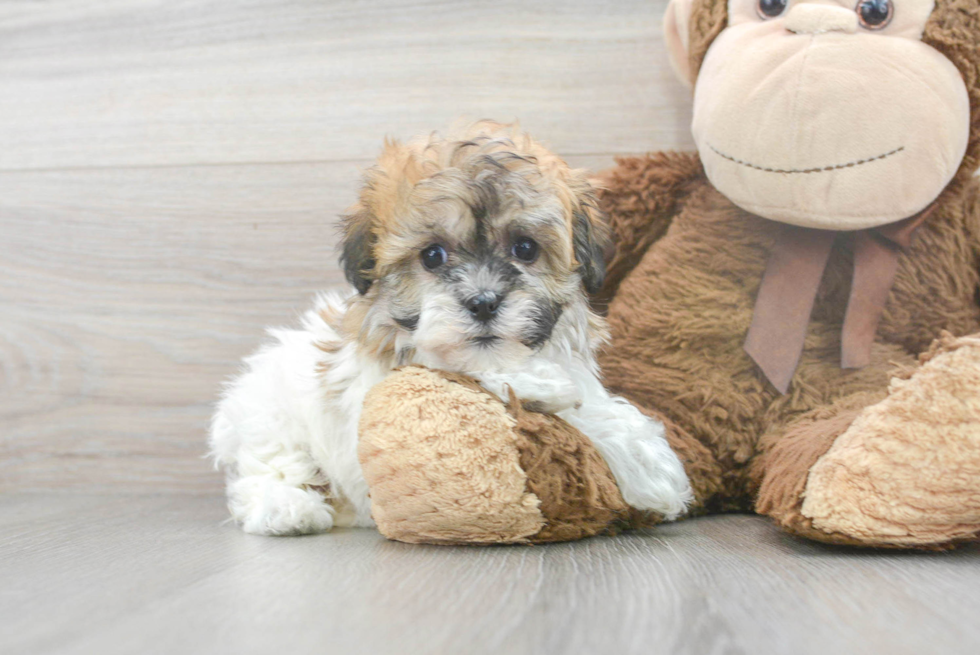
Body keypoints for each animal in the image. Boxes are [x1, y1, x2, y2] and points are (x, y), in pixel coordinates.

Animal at [211, 124, 692, 540]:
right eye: (432, 255)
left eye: (525, 248)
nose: (483, 302)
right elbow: (457, 367)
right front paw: (540, 384)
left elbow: (588, 408)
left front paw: (646, 461)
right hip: (269, 415)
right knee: (269, 466)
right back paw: (287, 509)